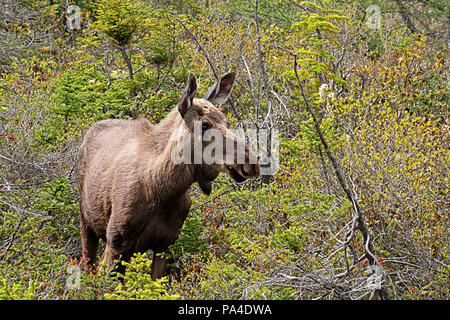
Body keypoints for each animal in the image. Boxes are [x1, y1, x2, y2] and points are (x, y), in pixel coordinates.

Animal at [75, 72, 260, 278]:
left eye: (227, 122)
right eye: (204, 125)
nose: (251, 163)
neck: (161, 190)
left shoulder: (165, 245)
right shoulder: (116, 242)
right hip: (86, 222)